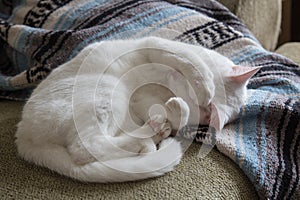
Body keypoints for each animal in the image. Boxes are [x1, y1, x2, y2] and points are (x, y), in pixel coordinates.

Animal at [14, 36, 260, 183]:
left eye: (205, 110)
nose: (181, 86)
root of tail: (23, 135)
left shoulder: (143, 101)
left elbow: (173, 114)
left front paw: (176, 111)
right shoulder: (156, 45)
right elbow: (189, 61)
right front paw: (204, 84)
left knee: (88, 148)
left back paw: (155, 133)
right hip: (109, 91)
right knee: (87, 148)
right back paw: (152, 134)